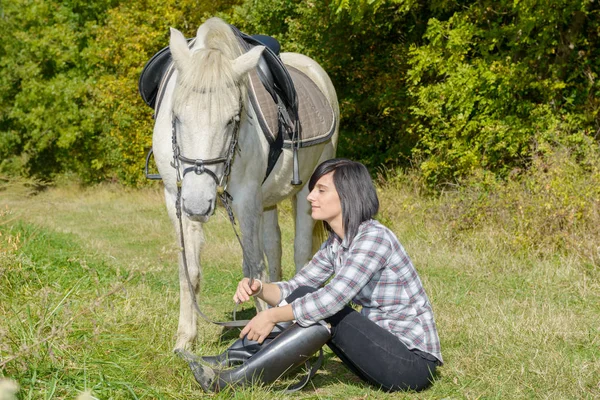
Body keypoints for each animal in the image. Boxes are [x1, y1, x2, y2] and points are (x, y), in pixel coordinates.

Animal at [152, 18, 340, 350]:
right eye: (177, 116)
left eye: (232, 119)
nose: (198, 205)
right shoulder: (177, 197)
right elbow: (189, 271)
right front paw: (185, 340)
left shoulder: (246, 200)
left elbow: (253, 269)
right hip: (267, 203)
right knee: (275, 248)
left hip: (307, 191)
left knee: (300, 252)